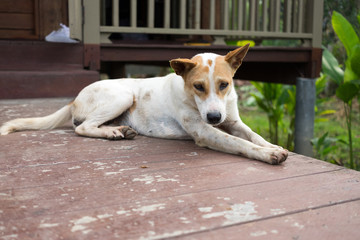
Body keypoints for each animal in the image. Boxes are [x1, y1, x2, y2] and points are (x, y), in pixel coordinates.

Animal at [0, 44, 286, 165]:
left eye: (224, 84)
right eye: (198, 86)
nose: (215, 117)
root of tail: (74, 98)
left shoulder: (233, 121)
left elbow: (253, 136)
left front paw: (272, 146)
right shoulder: (205, 131)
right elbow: (240, 143)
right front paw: (268, 154)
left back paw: (119, 129)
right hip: (123, 96)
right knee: (82, 128)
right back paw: (112, 132)